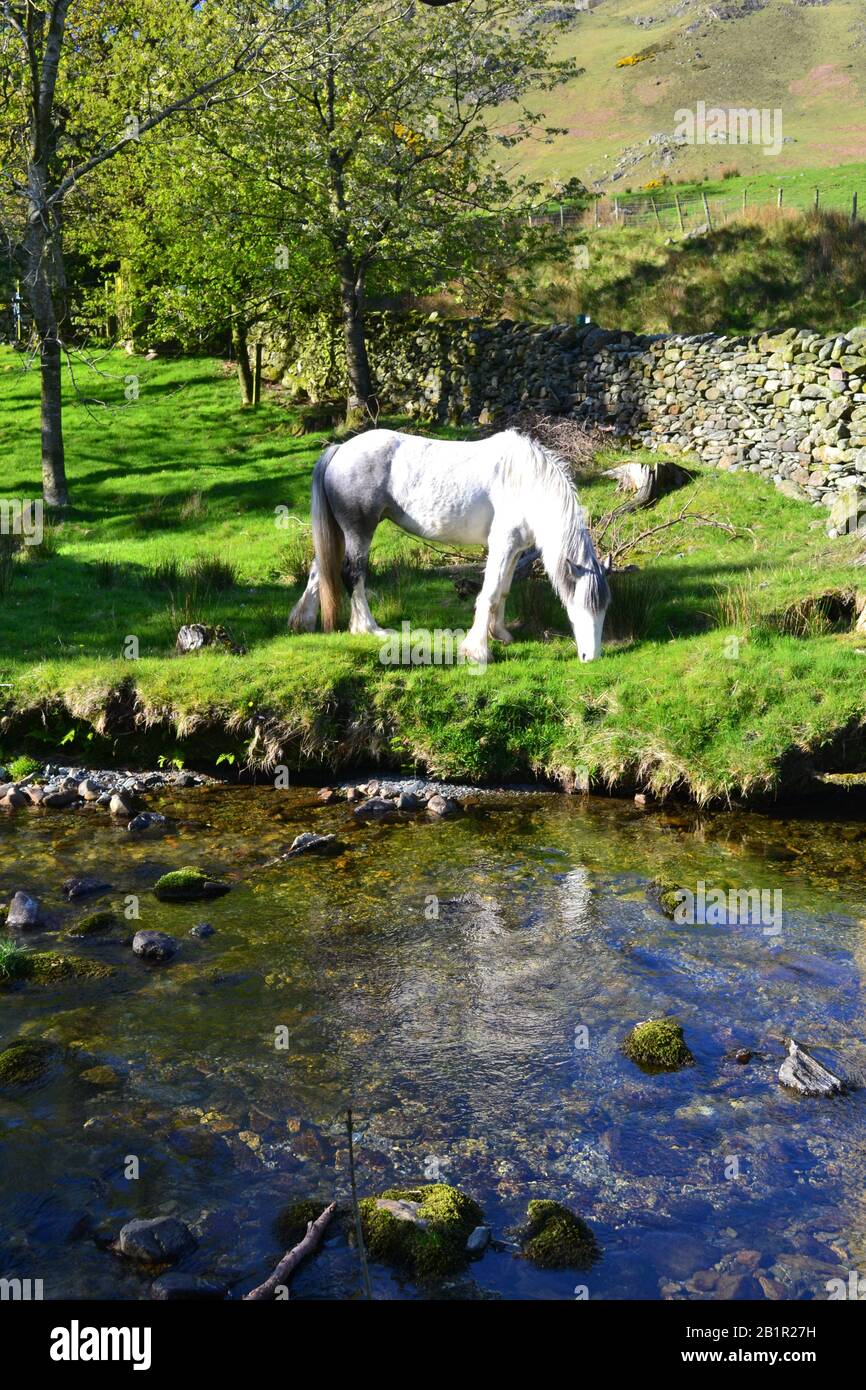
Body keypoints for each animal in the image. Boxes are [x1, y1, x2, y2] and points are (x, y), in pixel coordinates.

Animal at [289, 422, 608, 661]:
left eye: (604, 610)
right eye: (579, 607)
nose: (591, 658)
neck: (526, 483)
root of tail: (340, 449)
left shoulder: (515, 549)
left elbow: (503, 590)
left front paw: (500, 634)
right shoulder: (501, 545)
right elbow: (489, 593)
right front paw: (477, 650)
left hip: (343, 533)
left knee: (320, 568)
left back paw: (302, 622)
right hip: (360, 531)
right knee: (352, 574)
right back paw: (369, 629)